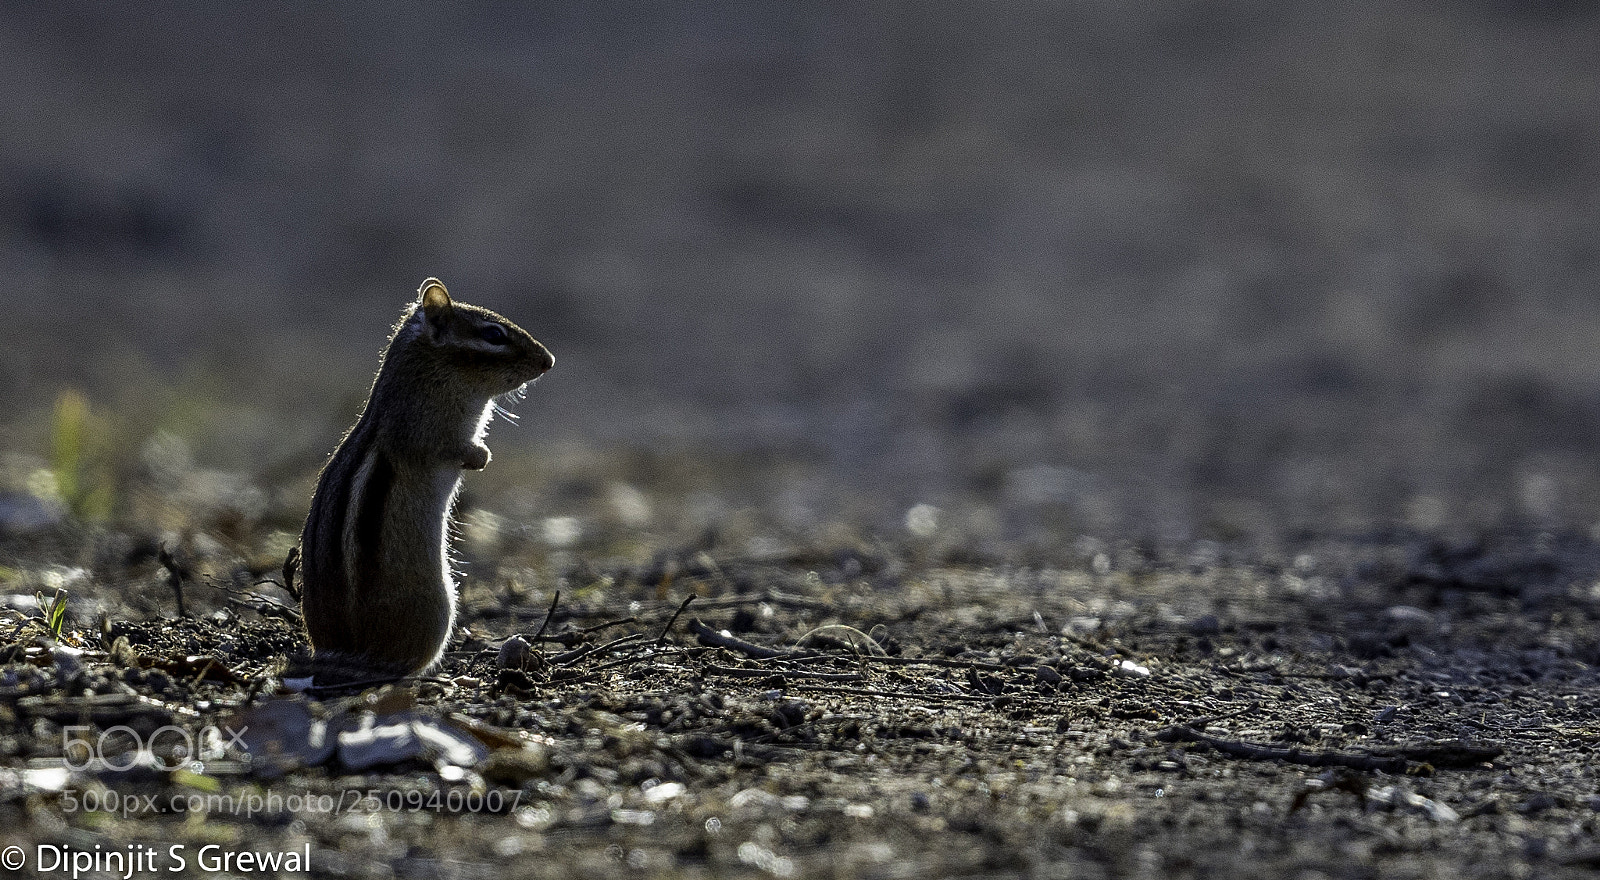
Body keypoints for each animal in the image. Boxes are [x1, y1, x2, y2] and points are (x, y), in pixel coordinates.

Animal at [294, 278, 553, 685]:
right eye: (494, 335)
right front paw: (480, 457)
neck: (431, 372)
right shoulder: (428, 433)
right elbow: (449, 449)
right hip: (440, 608)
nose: (549, 361)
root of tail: (343, 653)